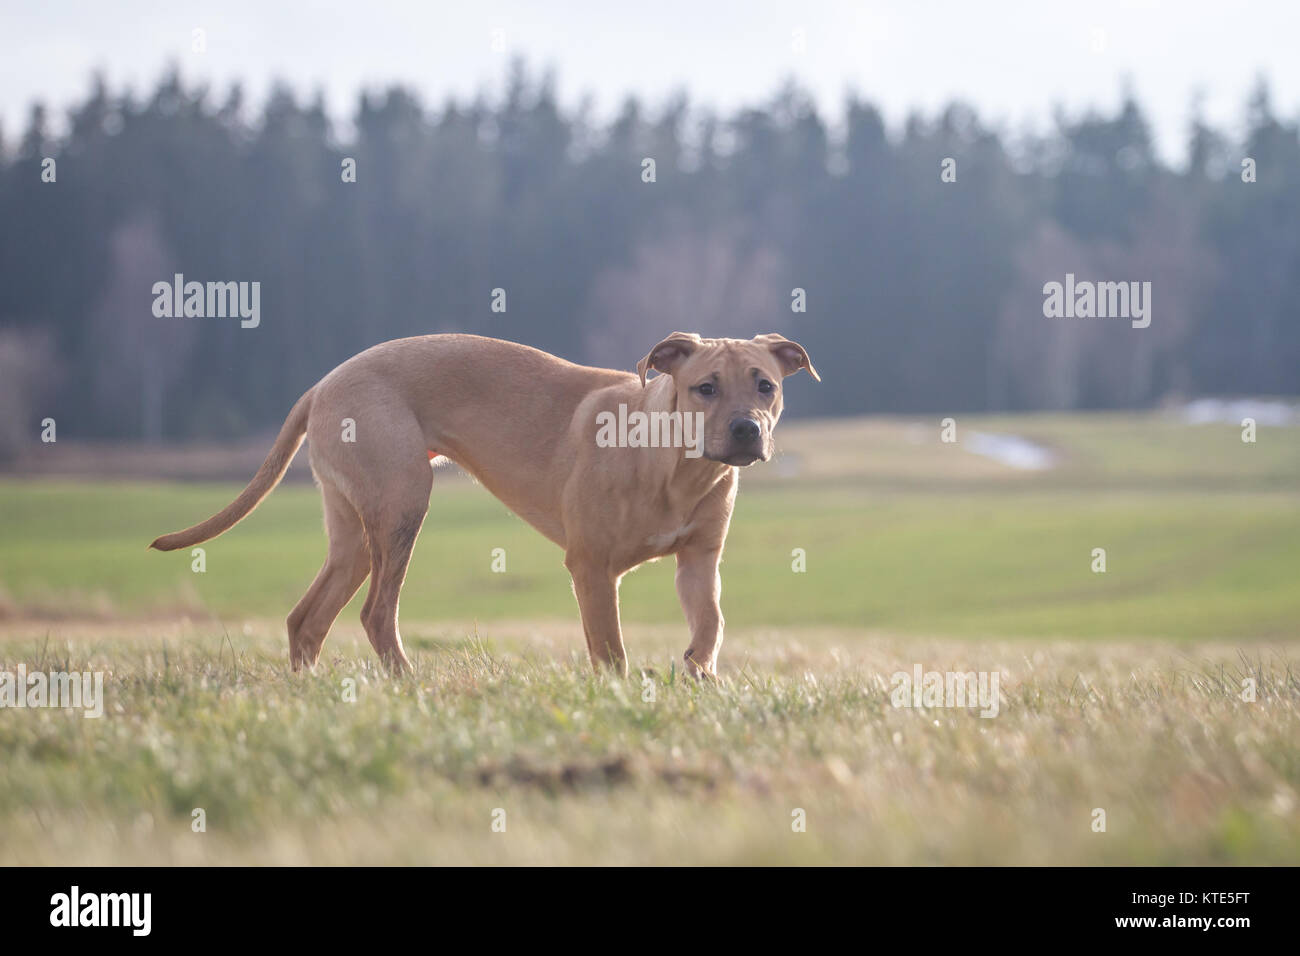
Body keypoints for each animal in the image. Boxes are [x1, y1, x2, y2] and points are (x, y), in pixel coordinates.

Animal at [152, 332, 816, 676]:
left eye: (766, 386)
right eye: (705, 388)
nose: (747, 431)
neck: (674, 464)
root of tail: (322, 384)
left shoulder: (699, 563)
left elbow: (712, 623)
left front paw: (698, 670)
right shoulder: (591, 568)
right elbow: (610, 648)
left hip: (355, 533)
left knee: (306, 619)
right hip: (401, 507)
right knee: (376, 614)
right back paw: (408, 686)